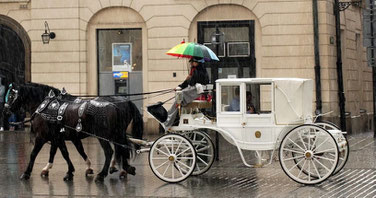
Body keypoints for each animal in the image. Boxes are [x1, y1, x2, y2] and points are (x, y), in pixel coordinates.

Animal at [3, 83, 143, 182]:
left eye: (11, 96)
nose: (5, 111)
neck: (46, 108)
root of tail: (116, 105)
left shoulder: (41, 137)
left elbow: (34, 154)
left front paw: (26, 173)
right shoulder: (59, 137)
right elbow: (65, 153)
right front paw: (69, 171)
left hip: (103, 136)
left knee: (110, 151)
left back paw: (102, 174)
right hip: (117, 133)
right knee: (121, 148)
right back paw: (125, 168)